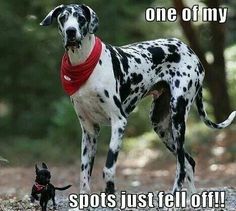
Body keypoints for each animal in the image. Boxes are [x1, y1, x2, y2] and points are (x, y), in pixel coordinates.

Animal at [39, 4, 235, 195]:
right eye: (63, 17)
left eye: (80, 18)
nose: (71, 31)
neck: (85, 64)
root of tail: (190, 50)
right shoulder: (89, 131)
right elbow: (84, 177)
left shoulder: (119, 122)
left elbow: (108, 170)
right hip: (161, 125)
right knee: (189, 162)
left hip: (178, 119)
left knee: (181, 165)